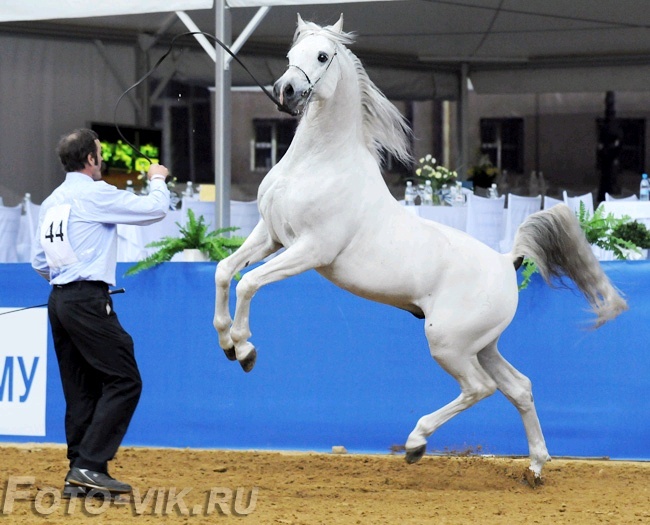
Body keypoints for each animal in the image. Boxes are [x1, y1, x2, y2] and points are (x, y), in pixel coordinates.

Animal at [214, 15, 628, 484]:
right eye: (289, 56)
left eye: (321, 56)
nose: (285, 91)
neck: (319, 165)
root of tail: (507, 261)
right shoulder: (271, 235)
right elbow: (226, 271)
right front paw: (226, 342)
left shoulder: (310, 249)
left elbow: (249, 283)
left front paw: (245, 350)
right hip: (481, 345)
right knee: (519, 387)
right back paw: (536, 468)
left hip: (448, 343)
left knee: (480, 388)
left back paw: (416, 442)